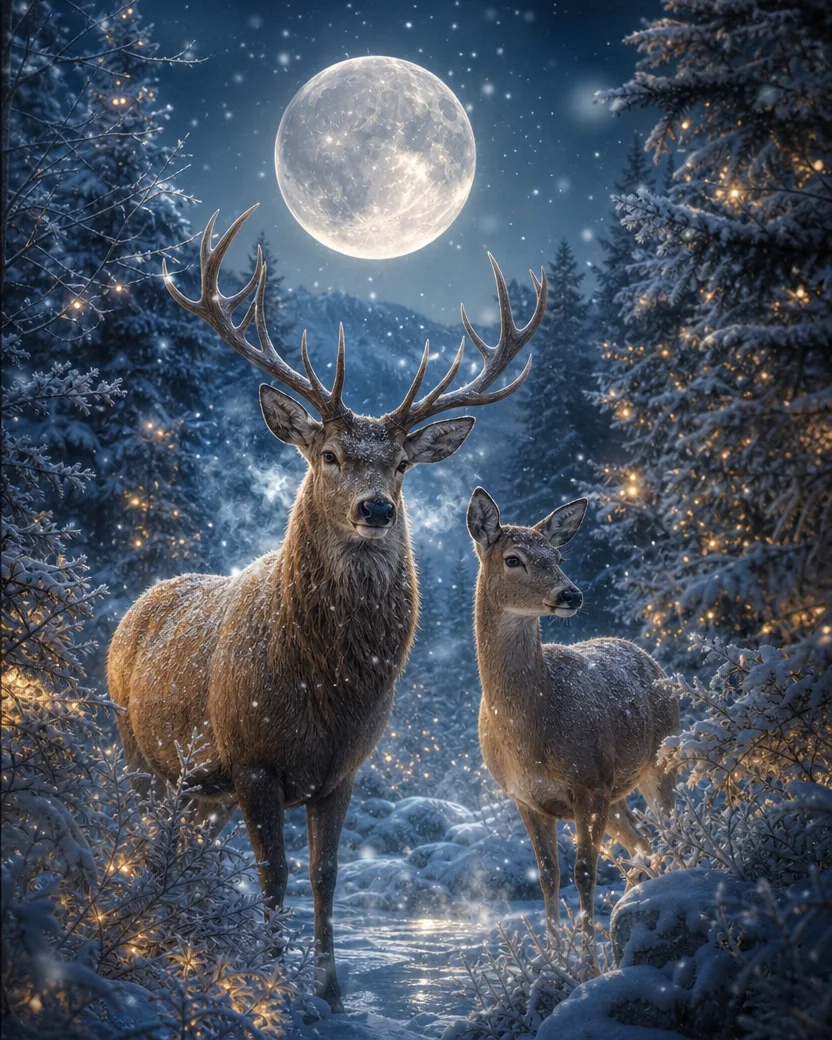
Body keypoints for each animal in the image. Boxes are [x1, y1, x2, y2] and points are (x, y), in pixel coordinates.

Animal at [107, 205, 547, 1011]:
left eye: (401, 464)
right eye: (330, 455)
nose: (375, 508)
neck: (325, 687)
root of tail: (138, 607)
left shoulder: (342, 769)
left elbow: (324, 877)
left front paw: (332, 992)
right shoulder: (251, 758)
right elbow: (274, 878)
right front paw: (271, 984)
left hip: (201, 788)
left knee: (188, 850)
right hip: (139, 756)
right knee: (147, 842)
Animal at [466, 487, 679, 976]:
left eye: (558, 555)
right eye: (513, 559)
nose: (572, 593)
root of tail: (647, 656)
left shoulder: (589, 782)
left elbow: (584, 872)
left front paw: (588, 966)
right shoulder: (525, 797)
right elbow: (549, 876)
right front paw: (553, 960)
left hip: (658, 763)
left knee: (667, 831)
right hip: (617, 795)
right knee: (642, 842)